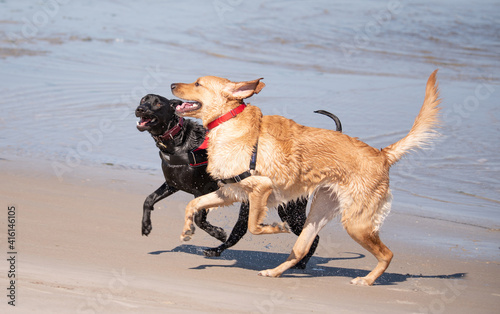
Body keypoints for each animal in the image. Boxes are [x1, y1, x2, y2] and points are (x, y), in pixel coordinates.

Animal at [135, 94, 342, 268]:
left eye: (158, 103)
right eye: (143, 99)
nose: (139, 109)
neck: (178, 142)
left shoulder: (205, 190)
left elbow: (199, 218)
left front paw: (217, 232)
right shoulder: (172, 185)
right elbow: (148, 199)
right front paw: (146, 226)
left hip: (289, 212)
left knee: (312, 237)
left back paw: (301, 263)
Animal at [170, 70, 440, 284]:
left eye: (198, 84)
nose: (172, 84)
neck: (228, 123)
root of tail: (382, 155)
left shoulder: (260, 188)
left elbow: (254, 226)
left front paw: (275, 227)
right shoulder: (230, 192)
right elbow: (193, 204)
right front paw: (187, 230)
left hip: (356, 223)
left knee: (387, 254)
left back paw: (367, 280)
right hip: (320, 211)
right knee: (302, 249)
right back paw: (275, 272)